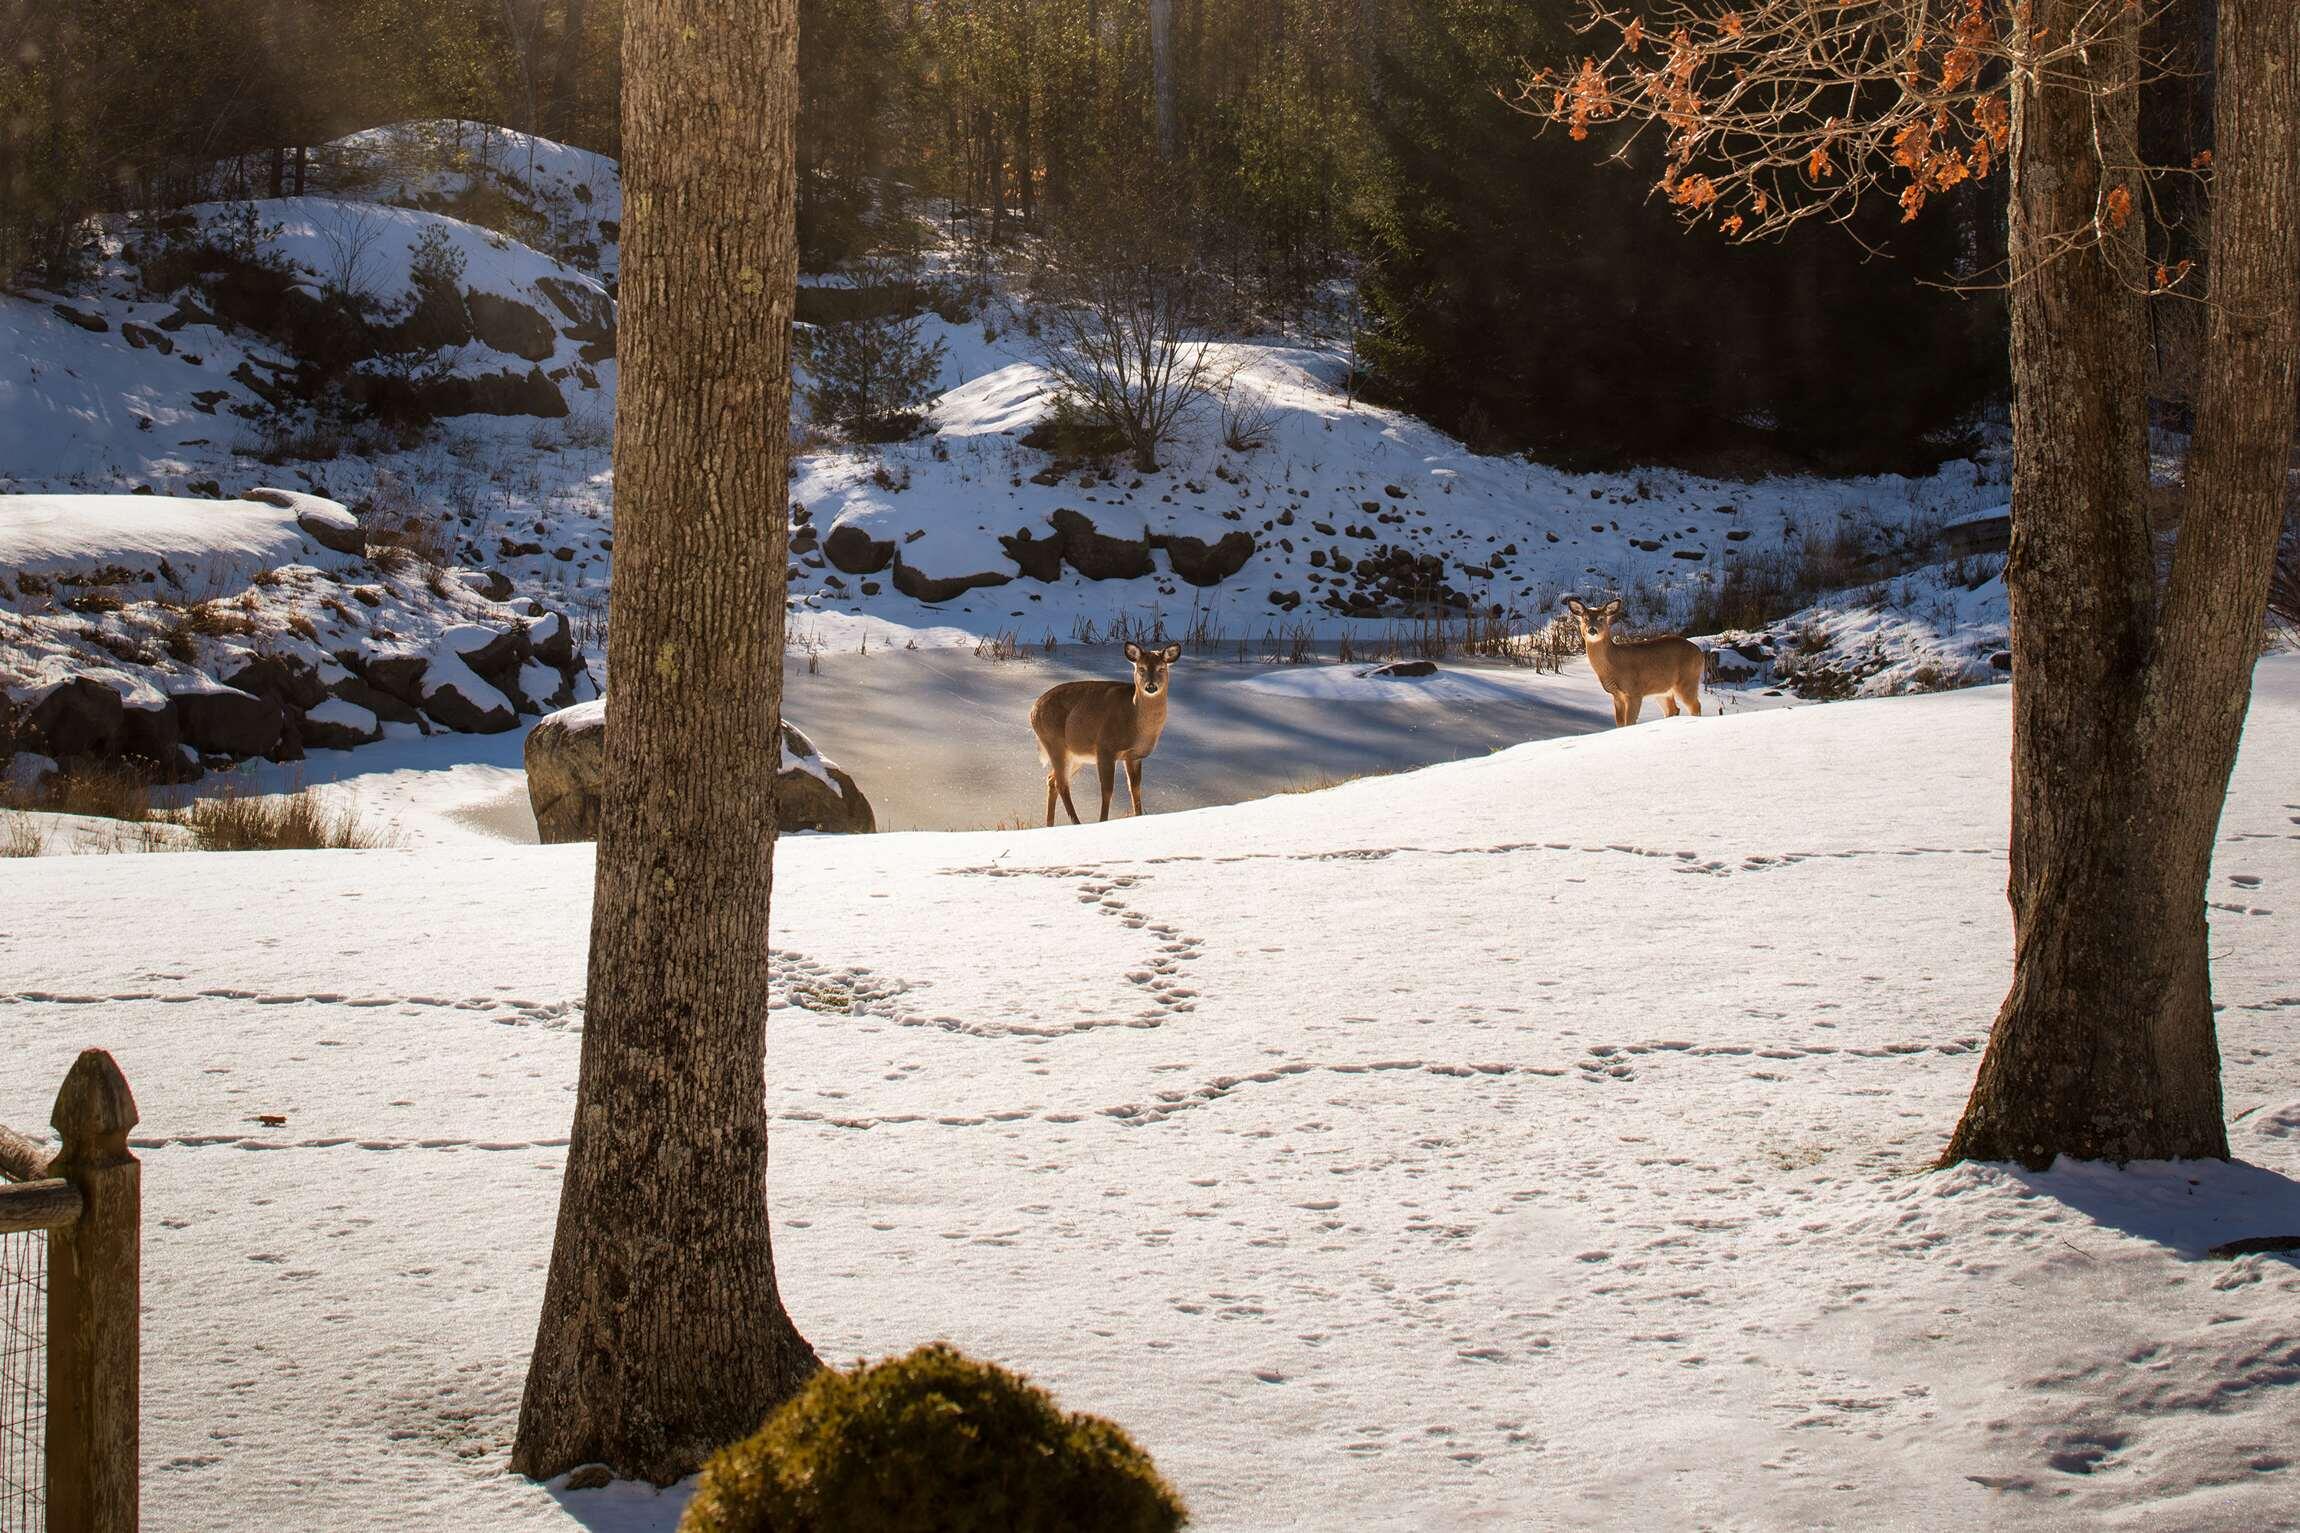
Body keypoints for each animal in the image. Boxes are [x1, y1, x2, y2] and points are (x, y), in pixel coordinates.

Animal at [1030, 642, 1184, 826]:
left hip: (1075, 755)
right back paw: (1076, 822)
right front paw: (1103, 821)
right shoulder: (1105, 748)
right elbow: (1107, 790)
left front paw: (1138, 816)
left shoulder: (1134, 756)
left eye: (1161, 668)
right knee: (1062, 784)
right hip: (1054, 742)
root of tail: (1033, 710)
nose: (1151, 686)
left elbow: (1135, 788)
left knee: (1051, 780)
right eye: (1141, 668)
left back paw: (1050, 824)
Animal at [1561, 596, 1706, 726]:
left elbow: (1630, 722)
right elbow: (1620, 723)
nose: (1592, 629)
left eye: (1601, 618)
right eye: (1585, 619)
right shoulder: (1616, 695)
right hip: (1662, 690)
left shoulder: (1634, 691)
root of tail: (1699, 652)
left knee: (1695, 706)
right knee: (1673, 709)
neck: (1613, 664)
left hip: (1687, 680)